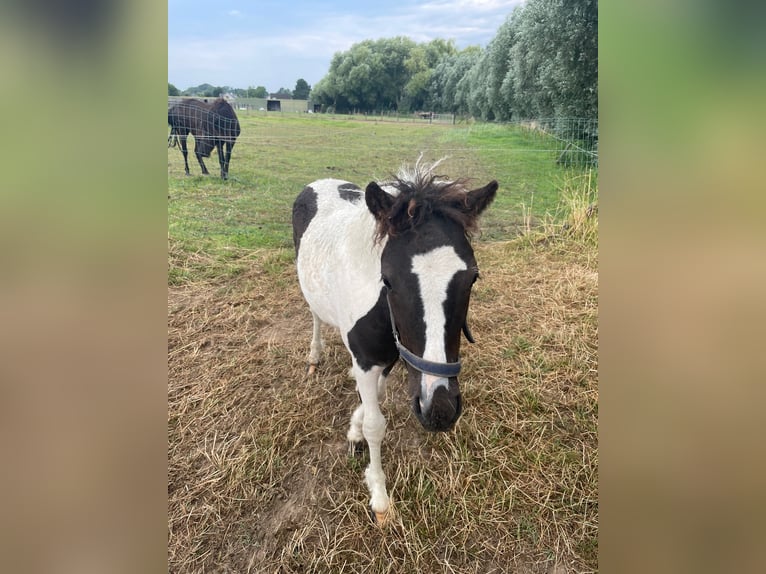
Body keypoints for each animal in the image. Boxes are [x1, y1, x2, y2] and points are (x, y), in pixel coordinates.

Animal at [292, 159, 498, 528]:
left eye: (473, 278)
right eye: (387, 280)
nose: (439, 411)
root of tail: (319, 182)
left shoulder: (388, 359)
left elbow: (375, 395)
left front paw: (354, 428)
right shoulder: (367, 360)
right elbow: (376, 425)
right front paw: (379, 496)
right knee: (315, 315)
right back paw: (314, 356)